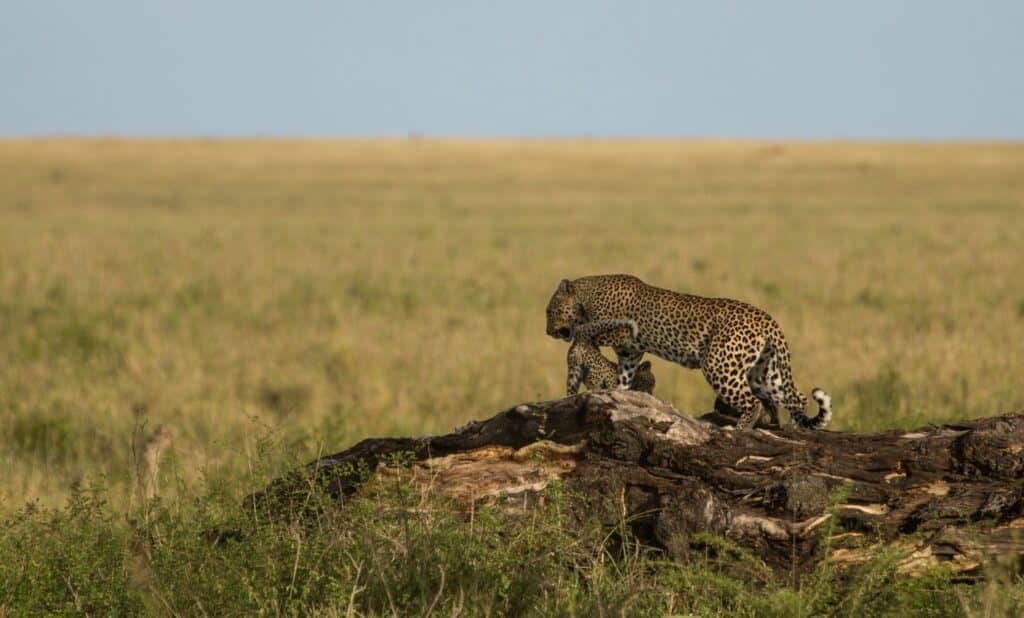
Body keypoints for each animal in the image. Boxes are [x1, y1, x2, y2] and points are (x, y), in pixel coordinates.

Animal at [544, 274, 831, 429]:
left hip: (719, 365)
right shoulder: (630, 353)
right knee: (796, 398)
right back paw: (796, 426)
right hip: (765, 372)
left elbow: (590, 329)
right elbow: (624, 377)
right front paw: (620, 395)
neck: (587, 295)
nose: (547, 331)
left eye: (550, 311)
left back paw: (737, 430)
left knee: (754, 402)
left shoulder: (619, 331)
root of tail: (768, 319)